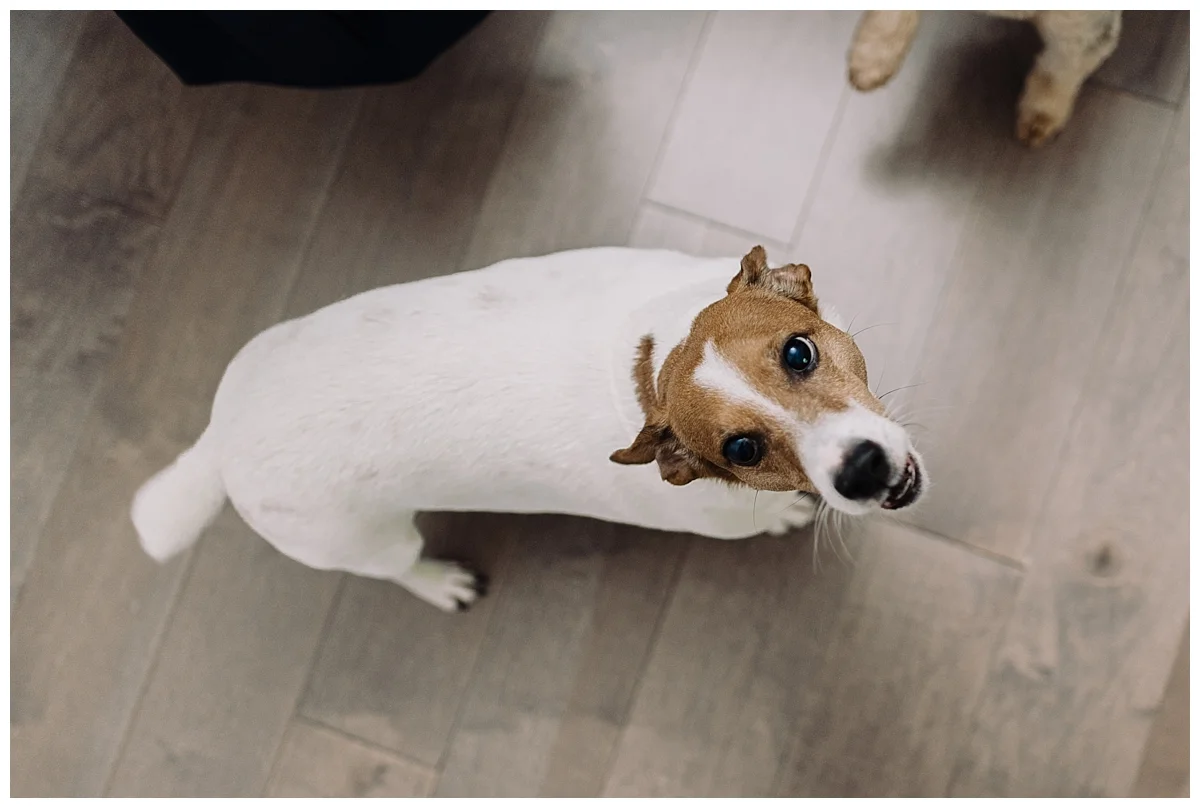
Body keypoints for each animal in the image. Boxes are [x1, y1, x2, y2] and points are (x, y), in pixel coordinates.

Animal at [131, 248, 926, 607]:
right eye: (741, 449)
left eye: (799, 352)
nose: (862, 468)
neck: (655, 362)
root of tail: (221, 437)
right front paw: (789, 512)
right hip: (360, 540)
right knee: (398, 567)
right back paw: (439, 583)